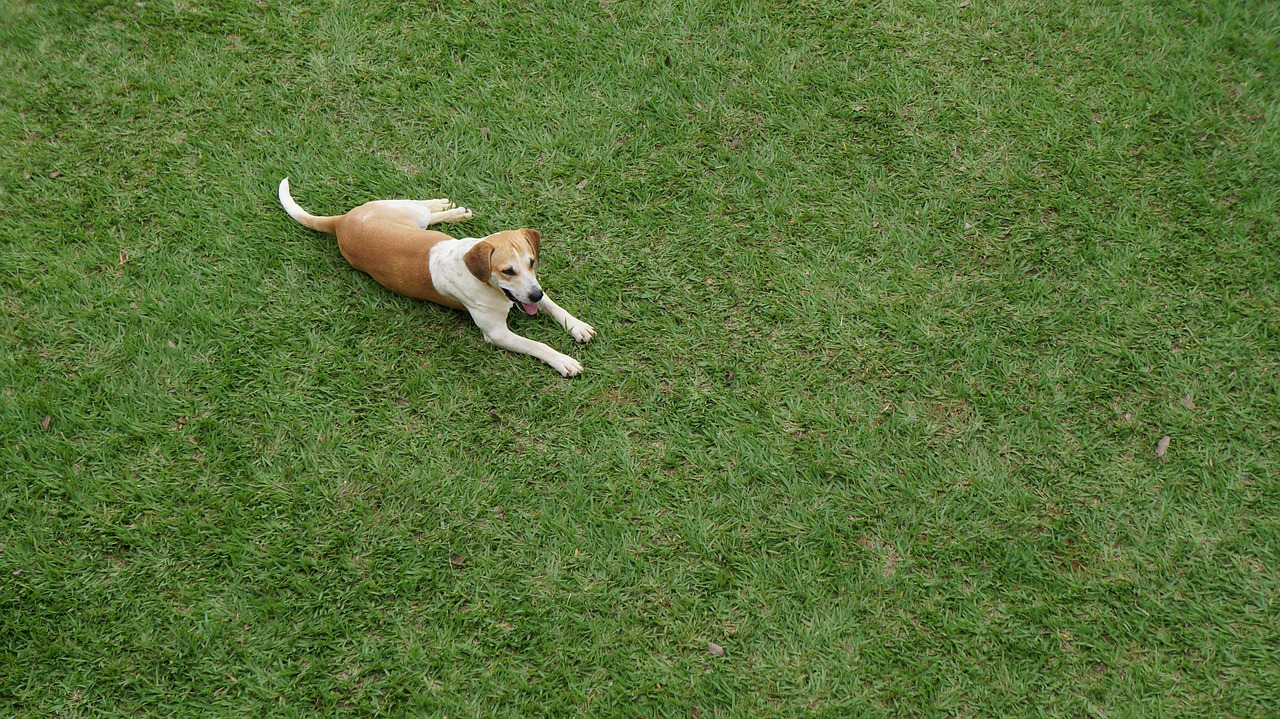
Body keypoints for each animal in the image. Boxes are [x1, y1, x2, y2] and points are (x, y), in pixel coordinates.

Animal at [279, 177, 593, 376]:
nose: (535, 295)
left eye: (531, 262)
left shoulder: (531, 290)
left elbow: (555, 306)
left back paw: (448, 208)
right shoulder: (497, 333)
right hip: (411, 215)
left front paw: (576, 326)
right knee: (423, 210)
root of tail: (341, 221)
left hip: (411, 217)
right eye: (507, 271)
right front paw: (562, 360)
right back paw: (447, 208)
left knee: (426, 211)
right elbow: (537, 345)